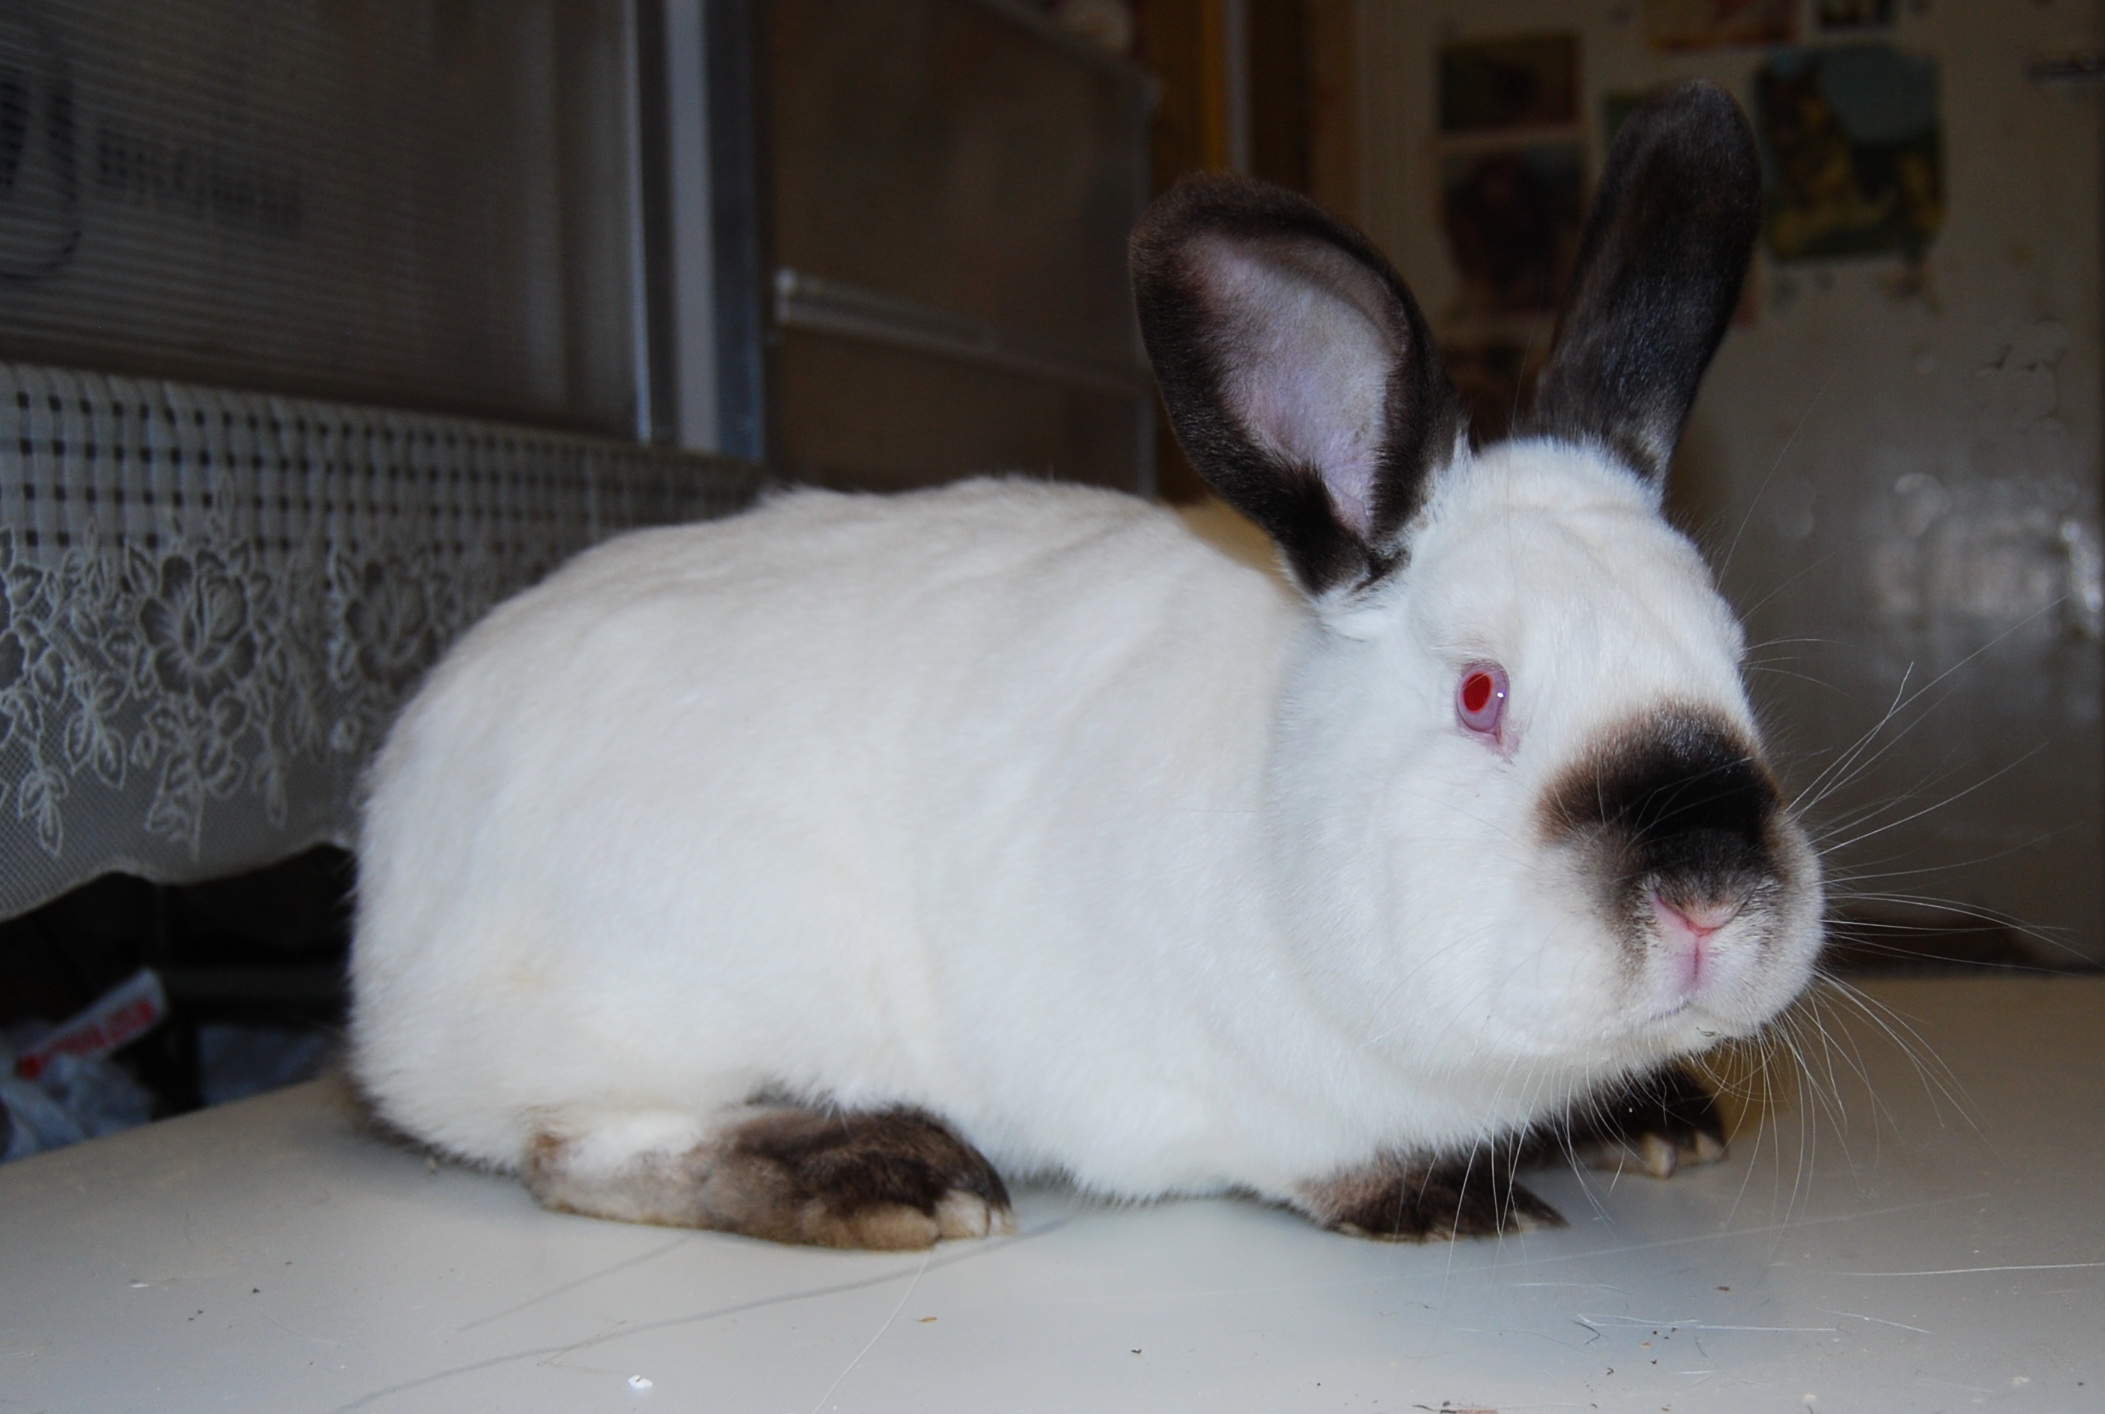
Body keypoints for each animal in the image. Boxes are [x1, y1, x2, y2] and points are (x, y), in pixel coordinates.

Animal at [349, 80, 1823, 1250]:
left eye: (1734, 661)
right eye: (1479, 693)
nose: (1707, 896)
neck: (1277, 799)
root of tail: (387, 883)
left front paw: (1660, 1116)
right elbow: (1324, 1156)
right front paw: (1448, 1198)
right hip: (649, 1007)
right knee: (574, 1150)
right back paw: (894, 1173)